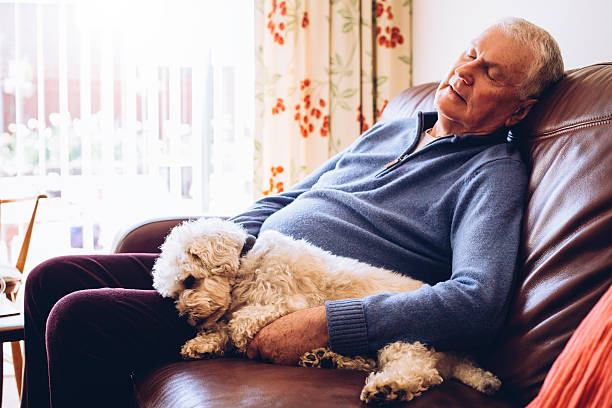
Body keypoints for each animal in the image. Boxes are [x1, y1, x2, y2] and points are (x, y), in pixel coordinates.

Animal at [151, 218, 500, 404]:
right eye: (174, 293)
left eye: (190, 280)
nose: (187, 317)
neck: (247, 264)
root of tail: (460, 355)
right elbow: (223, 324)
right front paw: (202, 343)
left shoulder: (289, 302)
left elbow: (241, 320)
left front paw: (234, 334)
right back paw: (327, 358)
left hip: (403, 338)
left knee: (421, 371)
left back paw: (388, 388)